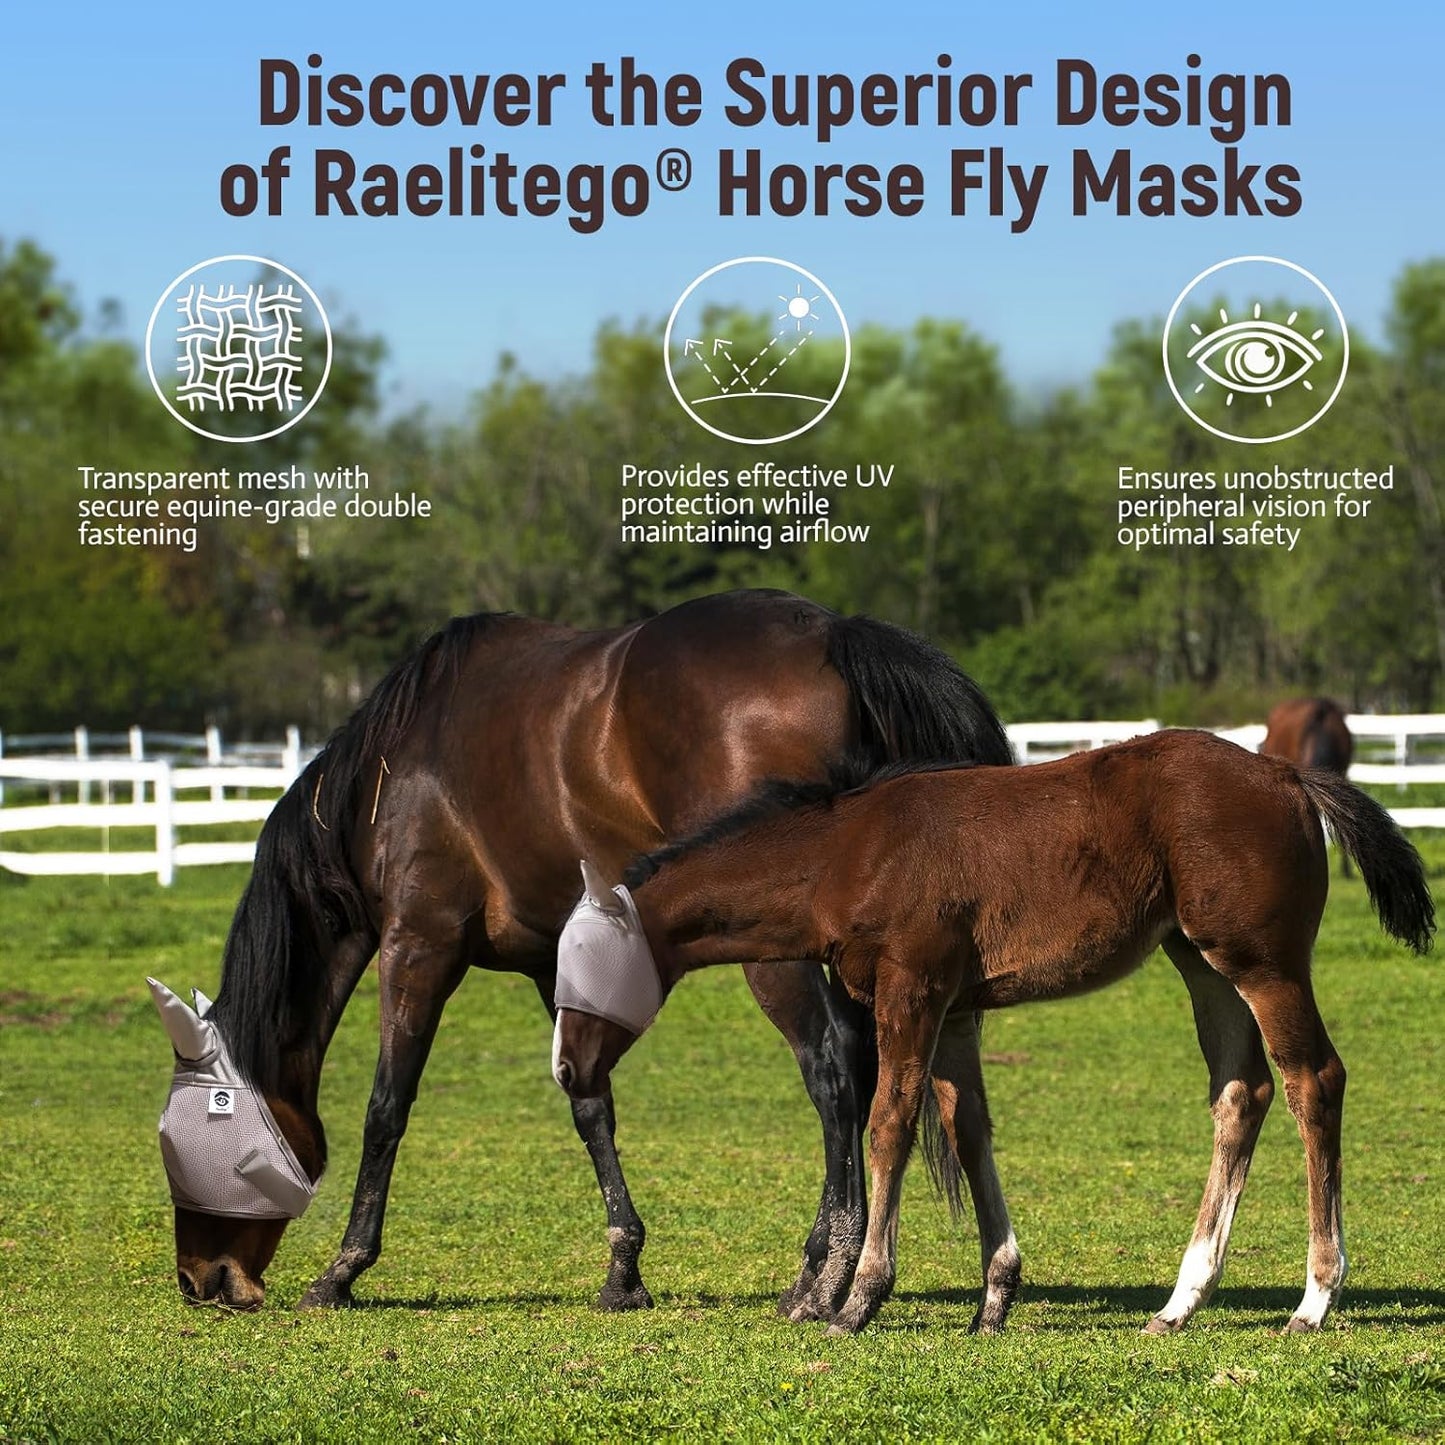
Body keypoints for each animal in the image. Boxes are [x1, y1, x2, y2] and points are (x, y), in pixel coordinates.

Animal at [147, 589, 1015, 1315]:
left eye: (190, 1136)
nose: (201, 1279)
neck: (392, 775)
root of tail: (833, 635)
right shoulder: (547, 957)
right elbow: (587, 1097)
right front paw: (623, 1268)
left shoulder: (418, 944)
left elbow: (386, 1105)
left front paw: (343, 1268)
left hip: (781, 955)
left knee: (835, 1072)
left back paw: (821, 1271)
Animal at [552, 729, 1434, 1336]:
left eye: (584, 962)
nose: (565, 1066)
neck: (848, 850)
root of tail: (1286, 774)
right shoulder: (951, 1007)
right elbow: (966, 1125)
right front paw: (994, 1296)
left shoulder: (910, 989)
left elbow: (890, 1123)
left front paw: (858, 1298)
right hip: (1200, 960)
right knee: (1239, 1091)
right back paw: (1180, 1301)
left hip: (1263, 960)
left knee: (1311, 1078)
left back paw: (1314, 1298)